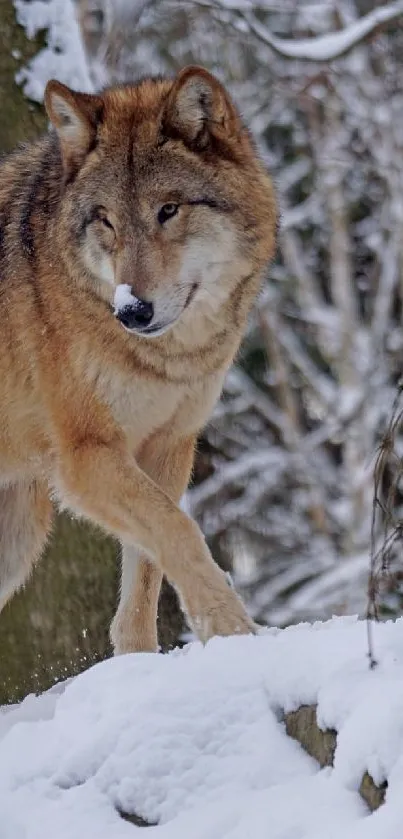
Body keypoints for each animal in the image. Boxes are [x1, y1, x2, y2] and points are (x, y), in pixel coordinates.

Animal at [0, 67, 276, 656]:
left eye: (168, 210)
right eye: (105, 220)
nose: (131, 310)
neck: (168, 359)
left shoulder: (167, 447)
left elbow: (148, 572)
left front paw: (140, 662)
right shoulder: (86, 458)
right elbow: (180, 531)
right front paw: (233, 631)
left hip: (19, 534)